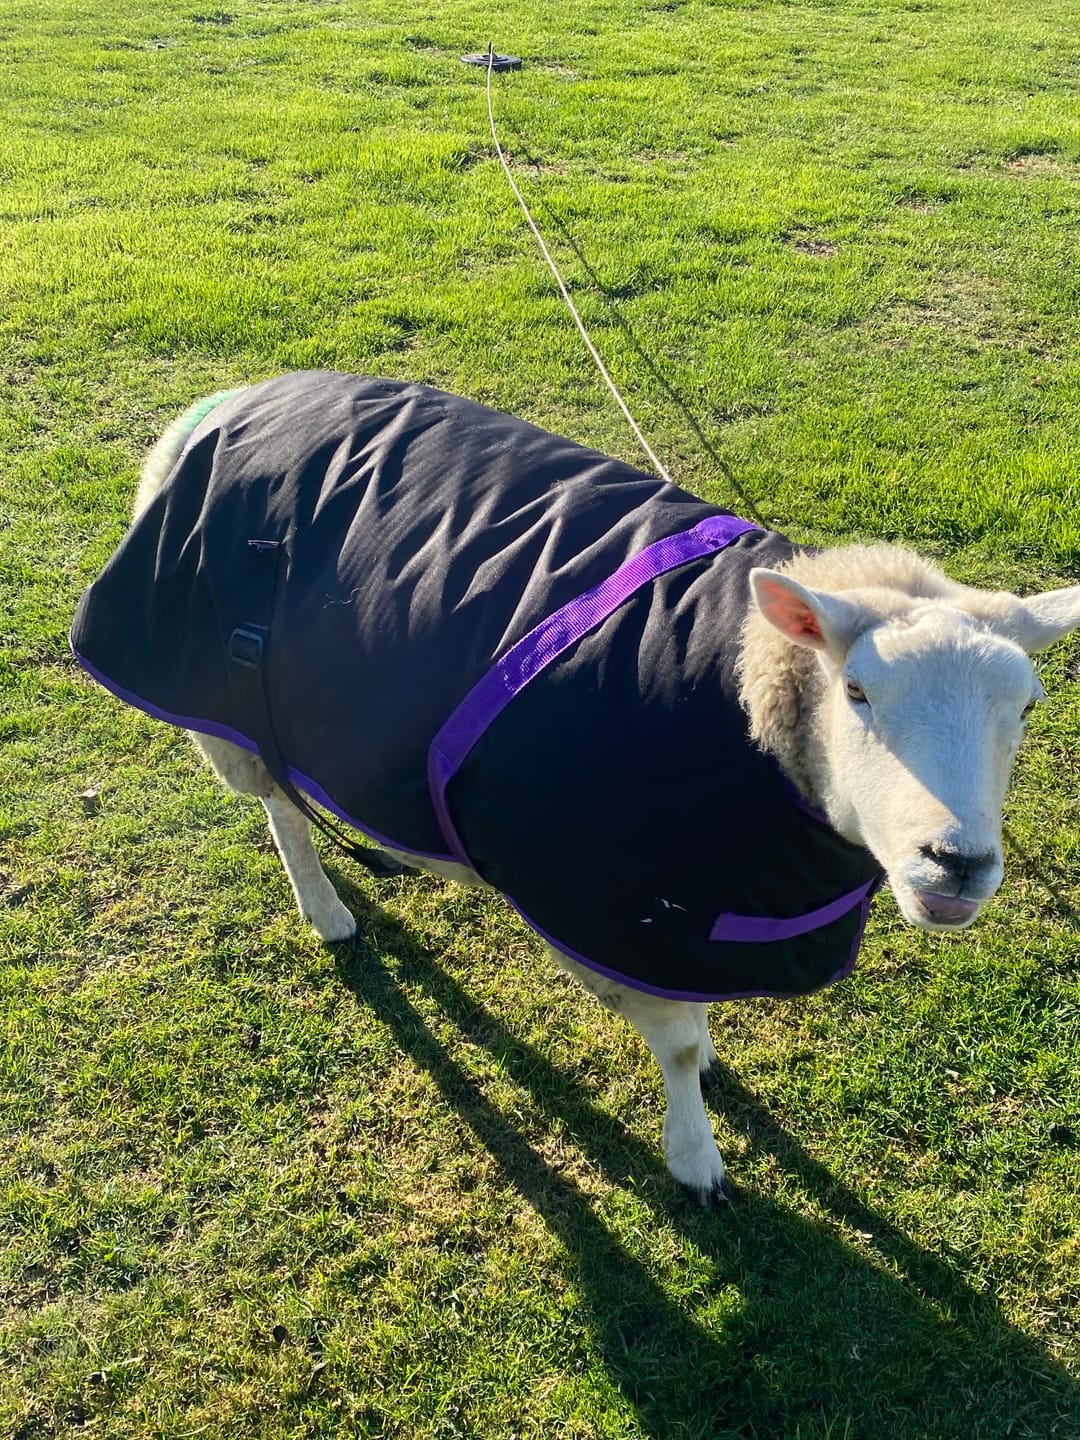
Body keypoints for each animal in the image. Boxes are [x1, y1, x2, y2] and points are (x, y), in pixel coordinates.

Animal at [71, 372, 1080, 1206]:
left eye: (1028, 707)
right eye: (859, 692)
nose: (957, 863)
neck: (734, 690)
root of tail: (223, 404)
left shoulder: (691, 916)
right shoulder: (613, 908)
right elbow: (676, 1046)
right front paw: (696, 1159)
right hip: (221, 706)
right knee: (278, 809)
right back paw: (325, 908)